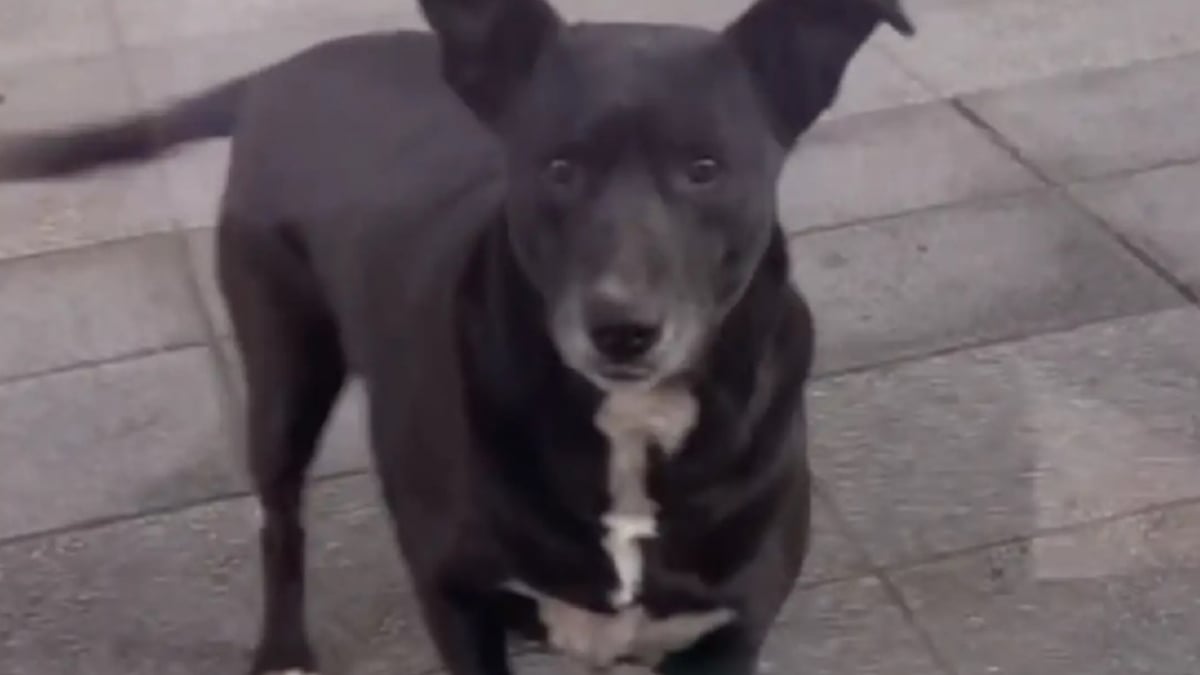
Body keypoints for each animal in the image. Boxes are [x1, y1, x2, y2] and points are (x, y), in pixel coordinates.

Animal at [0, 0, 907, 667]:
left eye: (705, 169)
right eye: (558, 167)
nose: (621, 329)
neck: (630, 430)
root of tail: (283, 70)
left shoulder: (728, 632)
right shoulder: (456, 600)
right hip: (285, 371)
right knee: (280, 520)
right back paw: (284, 649)